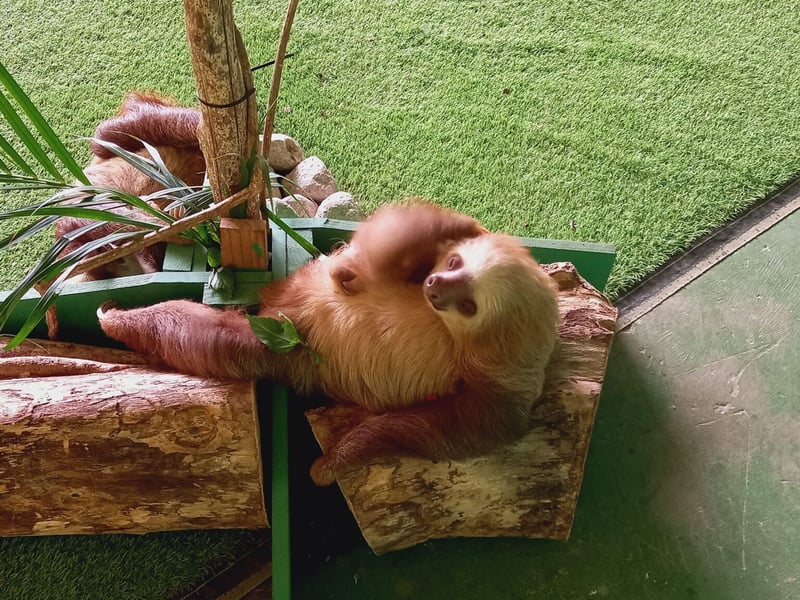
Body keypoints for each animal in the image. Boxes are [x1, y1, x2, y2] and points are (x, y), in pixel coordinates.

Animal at [97, 202, 561, 486]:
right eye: (454, 262)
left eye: (469, 305)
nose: (435, 286)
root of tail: (282, 307)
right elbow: (413, 234)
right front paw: (458, 229)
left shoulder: (500, 389)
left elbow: (450, 427)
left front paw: (332, 462)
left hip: (285, 346)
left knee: (210, 336)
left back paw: (116, 319)